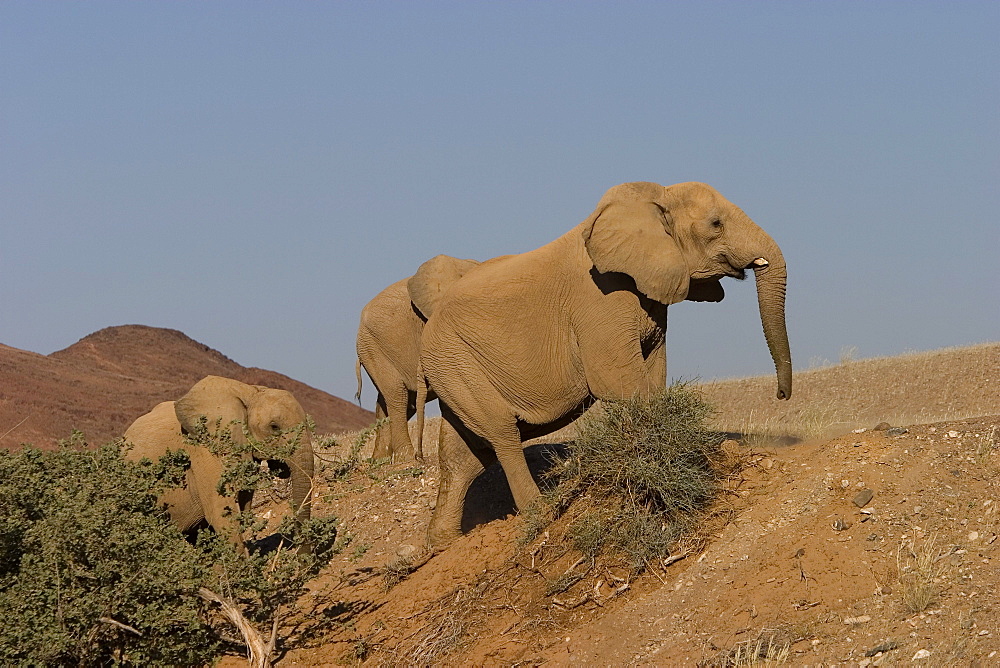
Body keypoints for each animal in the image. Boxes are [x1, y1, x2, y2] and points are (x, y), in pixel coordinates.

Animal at [412, 181, 788, 548]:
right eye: (716, 224)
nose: (782, 395)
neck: (652, 199)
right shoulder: (600, 298)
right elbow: (618, 381)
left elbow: (652, 375)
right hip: (454, 359)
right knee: (501, 433)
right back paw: (539, 513)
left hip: (454, 366)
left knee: (463, 454)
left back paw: (445, 542)